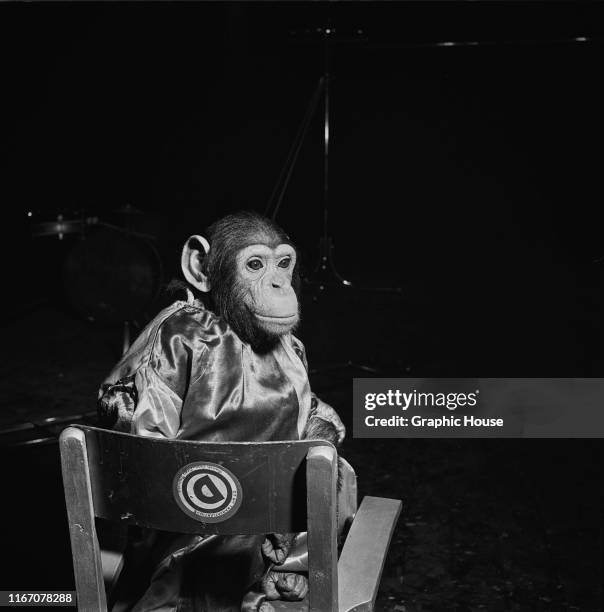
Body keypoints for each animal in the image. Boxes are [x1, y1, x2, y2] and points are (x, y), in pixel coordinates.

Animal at [98, 212, 344, 612]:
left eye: (284, 263)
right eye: (255, 265)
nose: (278, 283)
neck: (222, 319)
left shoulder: (294, 346)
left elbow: (317, 414)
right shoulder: (163, 353)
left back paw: (288, 580)